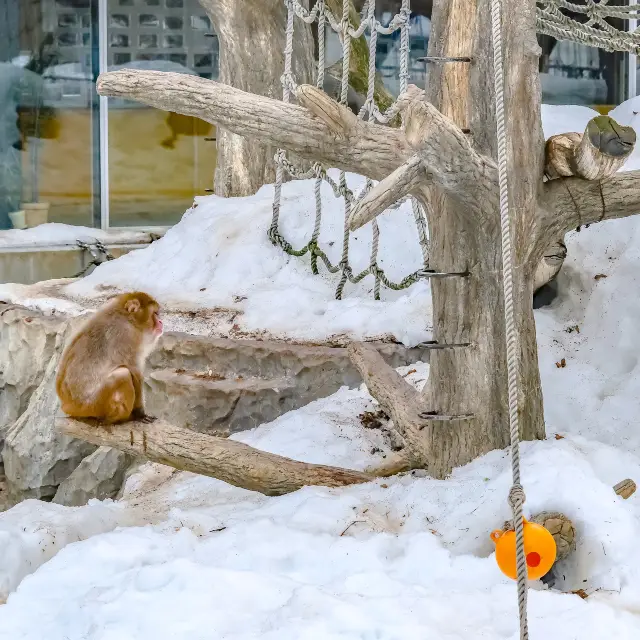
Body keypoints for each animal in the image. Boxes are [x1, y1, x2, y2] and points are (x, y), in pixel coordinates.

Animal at [55, 292, 164, 424]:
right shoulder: (127, 335)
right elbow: (134, 371)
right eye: (155, 313)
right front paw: (140, 414)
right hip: (91, 405)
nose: (160, 322)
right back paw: (117, 419)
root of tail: (66, 404)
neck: (128, 318)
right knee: (123, 374)